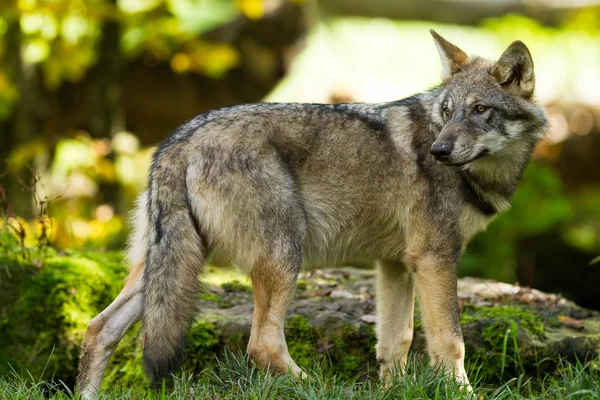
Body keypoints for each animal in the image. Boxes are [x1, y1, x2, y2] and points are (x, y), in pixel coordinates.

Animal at [76, 31, 548, 396]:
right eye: (447, 112)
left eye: (480, 110)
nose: (439, 150)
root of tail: (178, 140)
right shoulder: (434, 259)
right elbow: (450, 341)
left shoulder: (396, 263)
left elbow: (396, 341)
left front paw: (393, 392)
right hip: (283, 256)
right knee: (263, 345)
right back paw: (321, 387)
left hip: (170, 267)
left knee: (98, 328)